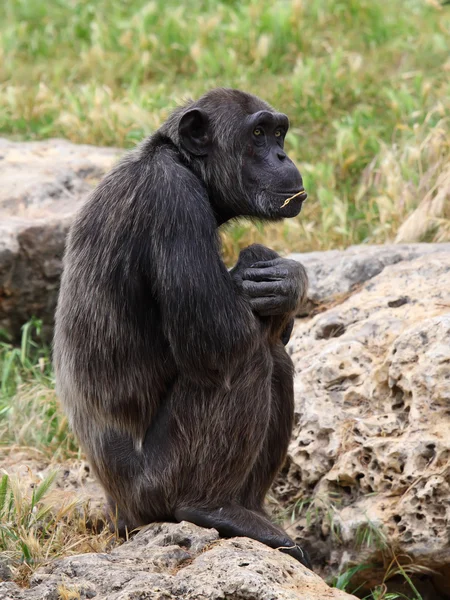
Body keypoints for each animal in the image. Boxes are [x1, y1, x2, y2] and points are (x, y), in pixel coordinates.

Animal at [53, 88, 310, 568]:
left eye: (279, 132)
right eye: (258, 134)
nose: (283, 155)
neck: (183, 162)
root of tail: (120, 516)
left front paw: (285, 280)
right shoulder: (174, 201)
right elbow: (222, 341)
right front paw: (278, 275)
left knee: (276, 358)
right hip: (158, 483)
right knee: (248, 357)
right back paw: (212, 508)